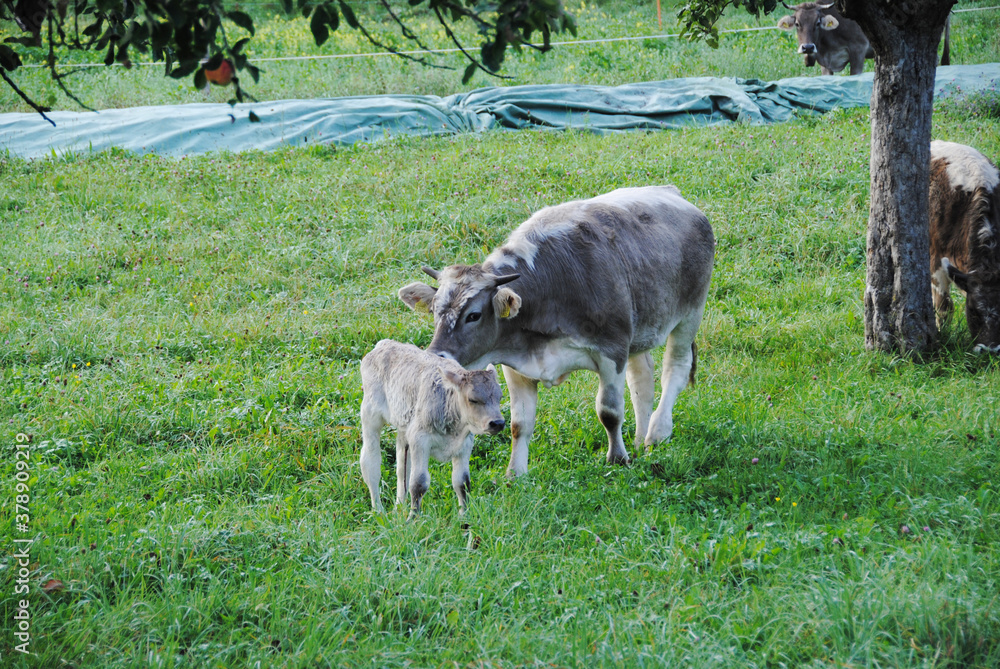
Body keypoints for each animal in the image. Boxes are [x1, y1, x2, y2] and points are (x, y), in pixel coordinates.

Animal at [359, 339, 506, 517]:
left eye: (500, 397)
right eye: (473, 399)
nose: (497, 423)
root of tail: (385, 343)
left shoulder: (465, 444)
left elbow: (462, 482)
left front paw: (464, 516)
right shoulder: (420, 440)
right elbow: (419, 483)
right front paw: (413, 518)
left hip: (404, 427)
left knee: (402, 467)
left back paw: (399, 507)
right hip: (370, 415)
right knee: (370, 462)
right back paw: (378, 510)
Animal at [398, 186, 715, 477]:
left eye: (473, 315)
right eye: (435, 311)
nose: (436, 355)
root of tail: (672, 193)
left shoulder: (612, 351)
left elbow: (609, 412)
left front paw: (617, 459)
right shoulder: (516, 366)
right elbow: (519, 424)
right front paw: (515, 474)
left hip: (690, 314)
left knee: (675, 368)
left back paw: (657, 431)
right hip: (640, 331)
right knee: (642, 381)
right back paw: (639, 440)